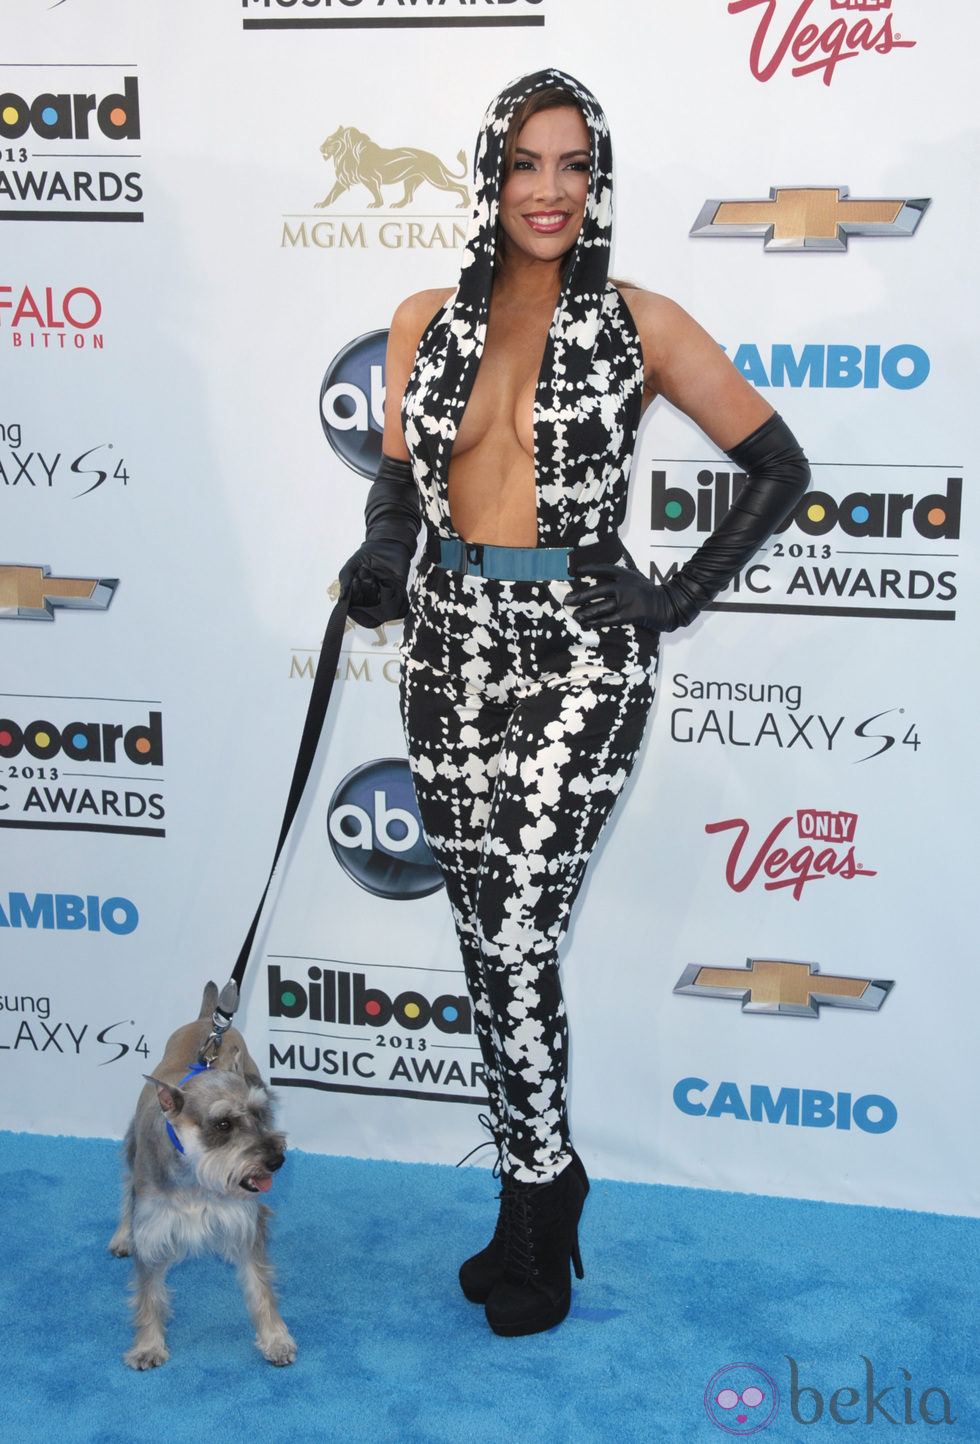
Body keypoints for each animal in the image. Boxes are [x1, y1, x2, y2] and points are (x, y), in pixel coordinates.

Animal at [109, 987, 297, 1368]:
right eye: (223, 1124)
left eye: (260, 1114)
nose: (276, 1160)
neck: (197, 1177)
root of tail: (206, 1020)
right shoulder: (152, 1232)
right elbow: (149, 1295)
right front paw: (148, 1346)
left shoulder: (245, 1224)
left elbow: (260, 1287)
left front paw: (275, 1339)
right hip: (133, 1148)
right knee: (126, 1186)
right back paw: (121, 1235)